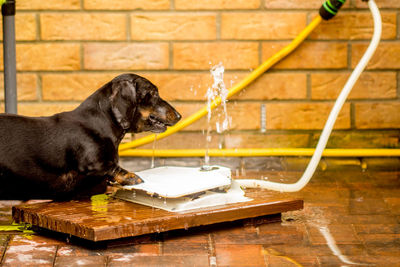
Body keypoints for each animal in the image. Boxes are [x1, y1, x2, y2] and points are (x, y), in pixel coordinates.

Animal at [0, 74, 181, 200]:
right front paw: (131, 177)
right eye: (153, 93)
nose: (179, 116)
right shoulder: (93, 163)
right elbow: (112, 167)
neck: (101, 123)